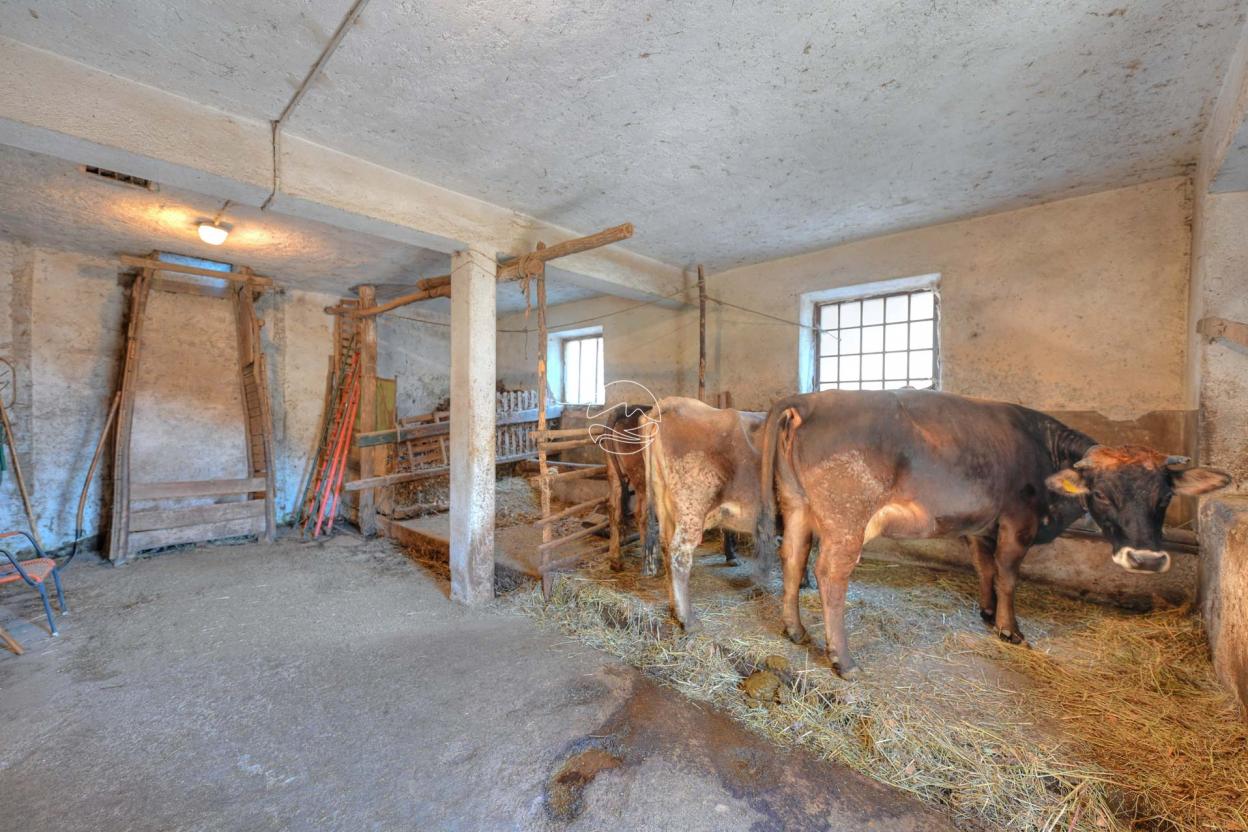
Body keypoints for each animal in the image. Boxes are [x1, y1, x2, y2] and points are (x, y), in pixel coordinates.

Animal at [643, 396, 768, 631]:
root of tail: (677, 403)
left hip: (664, 504)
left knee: (665, 548)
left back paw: (674, 610)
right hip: (691, 509)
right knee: (679, 554)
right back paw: (688, 620)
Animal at [748, 391, 1228, 678]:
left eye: (1164, 496)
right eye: (1102, 494)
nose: (1145, 560)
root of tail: (808, 399)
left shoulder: (982, 525)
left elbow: (984, 568)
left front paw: (985, 610)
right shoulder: (1019, 520)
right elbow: (1009, 575)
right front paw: (1009, 629)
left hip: (797, 506)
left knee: (793, 558)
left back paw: (794, 629)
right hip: (847, 518)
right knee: (830, 574)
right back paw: (842, 658)